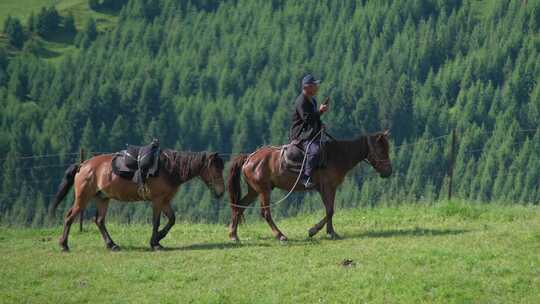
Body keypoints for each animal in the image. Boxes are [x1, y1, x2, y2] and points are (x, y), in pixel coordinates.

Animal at [51, 150, 225, 252]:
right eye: (215, 169)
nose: (221, 192)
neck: (167, 169)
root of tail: (83, 165)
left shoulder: (165, 201)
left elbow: (171, 220)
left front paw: (158, 238)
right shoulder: (157, 201)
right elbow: (156, 222)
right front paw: (155, 243)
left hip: (103, 198)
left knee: (99, 221)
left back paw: (112, 245)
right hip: (83, 198)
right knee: (69, 217)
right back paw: (64, 245)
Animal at [228, 129, 392, 241]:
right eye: (381, 150)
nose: (388, 172)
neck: (337, 155)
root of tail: (249, 158)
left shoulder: (329, 188)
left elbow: (330, 210)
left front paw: (331, 232)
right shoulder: (326, 187)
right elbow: (330, 210)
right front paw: (313, 230)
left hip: (254, 191)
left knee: (239, 207)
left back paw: (233, 235)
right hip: (264, 190)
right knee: (265, 213)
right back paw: (280, 235)